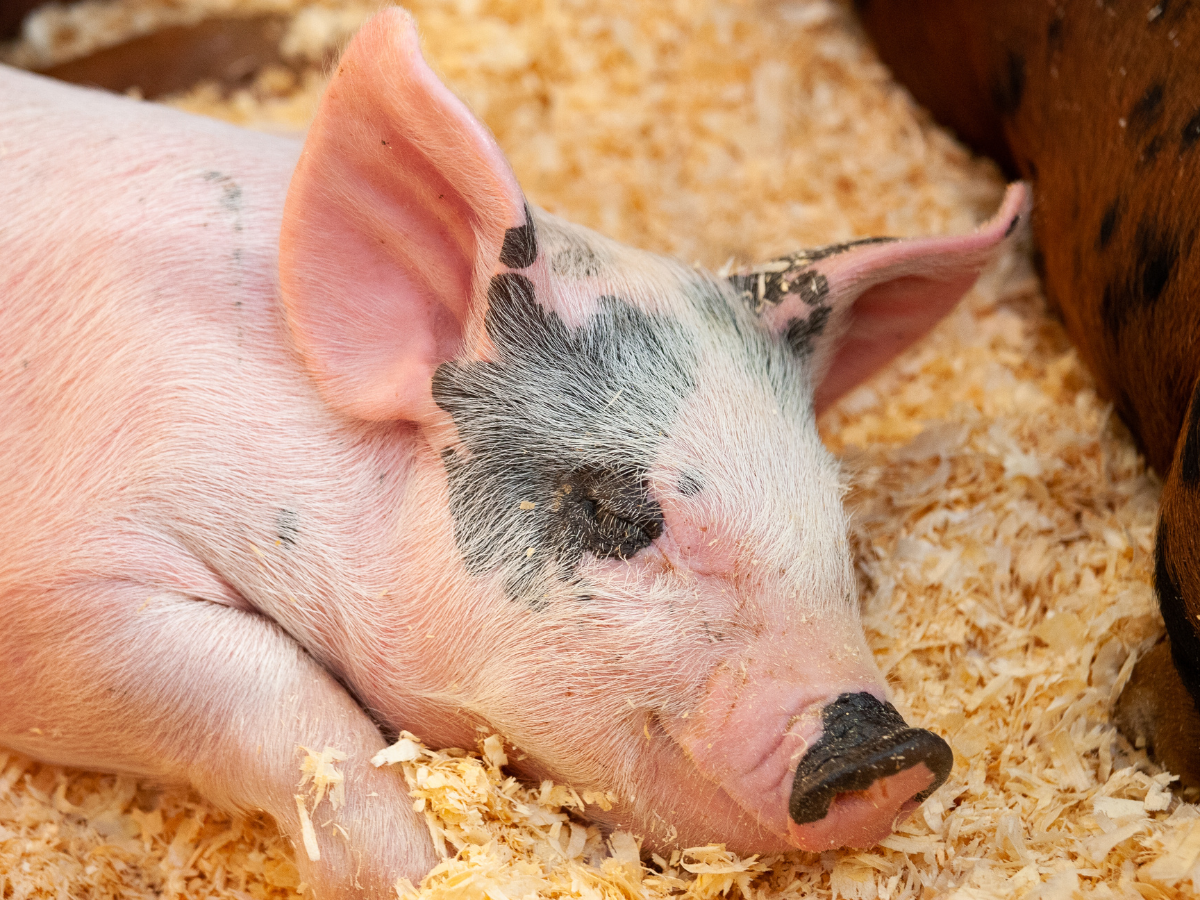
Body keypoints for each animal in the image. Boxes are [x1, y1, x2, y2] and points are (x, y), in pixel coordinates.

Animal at [0, 8, 1027, 900]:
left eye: (833, 520)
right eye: (619, 510)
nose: (890, 749)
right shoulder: (62, 583)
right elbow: (287, 698)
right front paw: (427, 874)